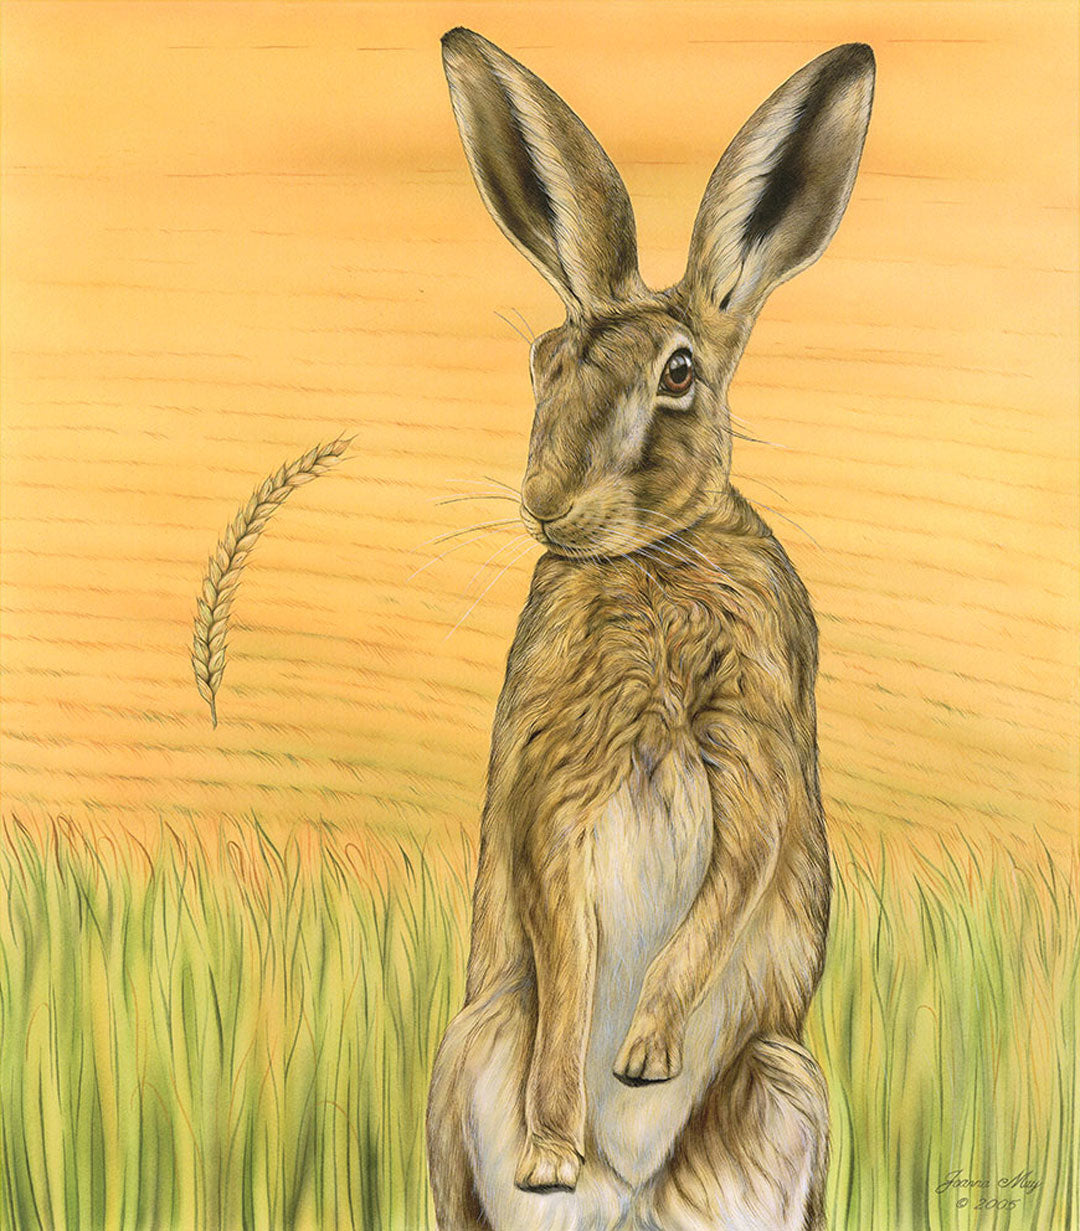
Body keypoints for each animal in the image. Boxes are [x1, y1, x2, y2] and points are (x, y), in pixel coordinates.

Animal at [427, 28, 874, 1231]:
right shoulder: (555, 791)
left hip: (786, 1082)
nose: (549, 508)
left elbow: (727, 898)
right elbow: (568, 957)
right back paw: (562, 1168)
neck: (651, 564)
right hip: (463, 1058)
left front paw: (645, 1055)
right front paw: (553, 1140)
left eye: (679, 374)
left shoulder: (755, 756)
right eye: (544, 361)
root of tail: (632, 1204)